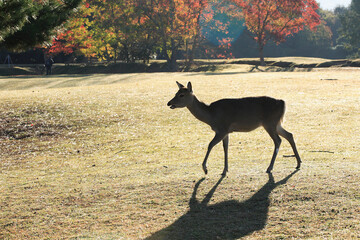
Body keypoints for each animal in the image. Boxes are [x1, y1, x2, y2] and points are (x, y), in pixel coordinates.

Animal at [167, 81, 300, 175]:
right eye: (175, 93)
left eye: (181, 95)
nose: (169, 103)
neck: (211, 116)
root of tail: (283, 103)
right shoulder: (226, 132)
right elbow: (225, 148)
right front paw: (225, 170)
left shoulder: (222, 129)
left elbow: (210, 145)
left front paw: (205, 169)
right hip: (277, 124)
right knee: (289, 134)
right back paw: (298, 163)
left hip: (270, 123)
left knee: (278, 140)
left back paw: (270, 167)